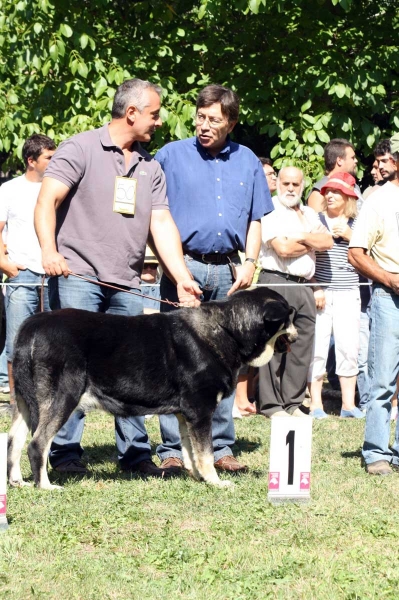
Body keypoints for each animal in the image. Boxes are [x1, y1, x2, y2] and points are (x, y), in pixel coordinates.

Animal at [7, 288, 296, 490]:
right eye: (290, 316)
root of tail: (30, 326)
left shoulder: (186, 415)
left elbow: (191, 452)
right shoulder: (201, 411)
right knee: (37, 444)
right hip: (62, 397)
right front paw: (215, 481)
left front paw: (197, 477)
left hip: (25, 403)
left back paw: (17, 482)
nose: (299, 332)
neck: (227, 330)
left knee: (13, 441)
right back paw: (45, 486)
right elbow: (205, 453)